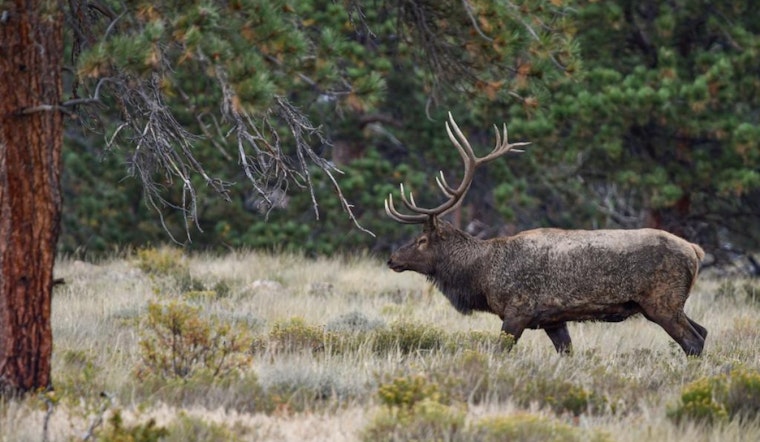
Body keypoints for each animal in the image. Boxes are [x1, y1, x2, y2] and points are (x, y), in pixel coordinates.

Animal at [384, 113, 707, 356]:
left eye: (421, 240)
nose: (392, 258)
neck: (482, 274)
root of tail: (695, 250)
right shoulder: (553, 319)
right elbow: (566, 351)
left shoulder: (518, 310)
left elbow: (500, 351)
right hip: (667, 303)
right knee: (703, 331)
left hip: (663, 301)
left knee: (693, 341)